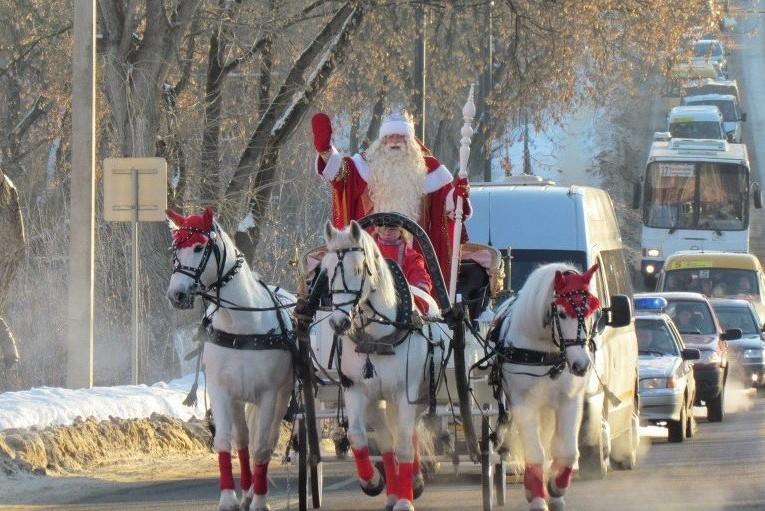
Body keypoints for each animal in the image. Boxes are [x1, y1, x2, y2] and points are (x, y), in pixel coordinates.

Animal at [164, 209, 292, 511]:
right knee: (243, 441)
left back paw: (255, 491)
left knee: (266, 441)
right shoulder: (221, 391)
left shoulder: (269, 394)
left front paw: (259, 501)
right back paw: (245, 490)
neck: (241, 325)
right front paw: (228, 498)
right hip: (238, 399)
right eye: (175, 248)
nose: (176, 294)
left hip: (282, 397)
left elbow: (262, 447)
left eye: (199, 247)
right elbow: (224, 441)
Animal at [322, 222, 442, 511]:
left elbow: (405, 444)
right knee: (387, 440)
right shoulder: (355, 389)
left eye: (358, 269)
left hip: (418, 396)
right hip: (377, 400)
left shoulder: (405, 393)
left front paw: (406, 499)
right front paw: (372, 482)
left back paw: (412, 484)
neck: (377, 336)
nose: (339, 323)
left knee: (408, 434)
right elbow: (358, 436)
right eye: (327, 270)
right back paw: (392, 491)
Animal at [498, 264, 600, 511]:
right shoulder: (523, 404)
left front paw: (555, 487)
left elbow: (568, 451)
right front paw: (537, 496)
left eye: (591, 312)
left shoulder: (570, 400)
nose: (581, 364)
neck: (547, 352)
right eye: (561, 313)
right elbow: (534, 453)